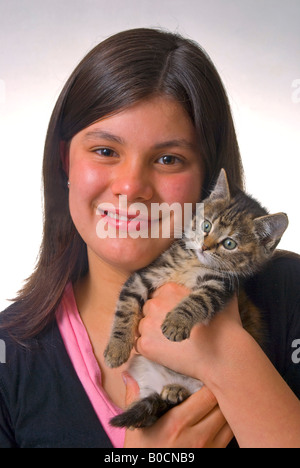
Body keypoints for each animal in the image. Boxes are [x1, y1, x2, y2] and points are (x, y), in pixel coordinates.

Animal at [103, 168, 288, 428]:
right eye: (206, 225)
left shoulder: (218, 284)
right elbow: (125, 308)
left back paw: (176, 391)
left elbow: (197, 301)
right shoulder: (145, 275)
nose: (205, 247)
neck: (192, 262)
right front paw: (117, 349)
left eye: (229, 243)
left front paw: (176, 322)